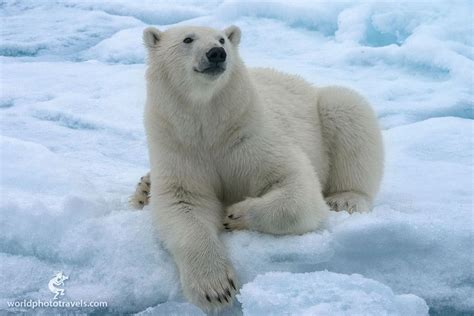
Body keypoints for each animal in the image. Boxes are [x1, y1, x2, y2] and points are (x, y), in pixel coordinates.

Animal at [131, 25, 384, 312]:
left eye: (222, 39)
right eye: (187, 39)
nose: (216, 53)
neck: (209, 126)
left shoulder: (250, 134)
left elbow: (295, 183)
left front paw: (235, 214)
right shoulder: (178, 146)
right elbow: (183, 204)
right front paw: (215, 289)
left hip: (325, 109)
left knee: (346, 107)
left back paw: (345, 199)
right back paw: (143, 189)